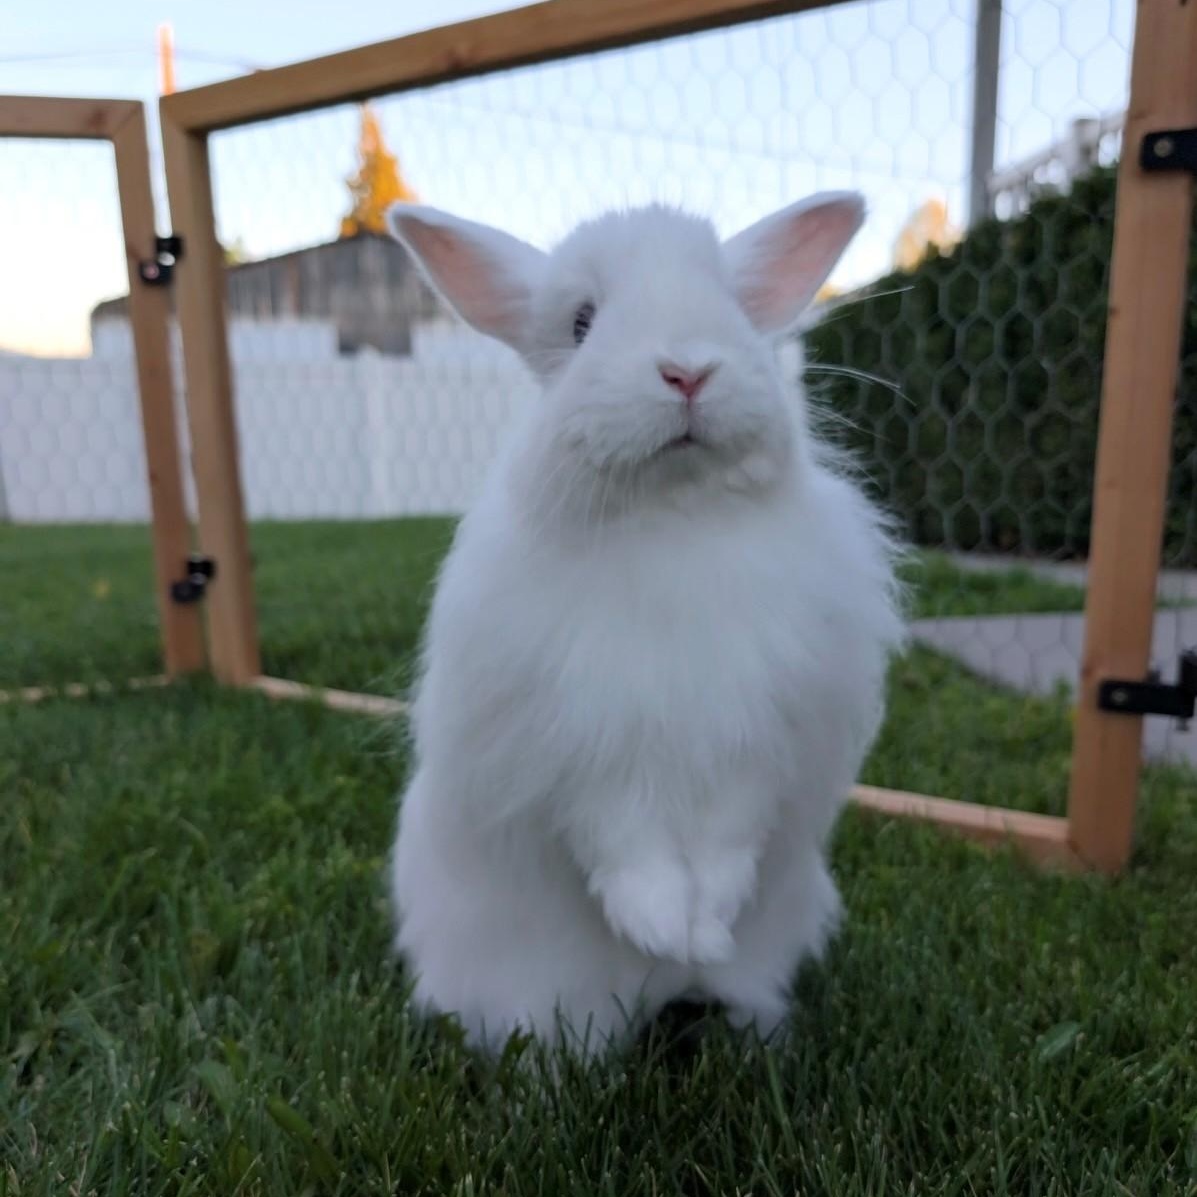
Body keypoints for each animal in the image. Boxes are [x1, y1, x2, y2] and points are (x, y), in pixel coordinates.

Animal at [385, 193, 904, 1057]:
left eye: (729, 303)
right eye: (581, 321)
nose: (687, 371)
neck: (673, 516)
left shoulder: (754, 740)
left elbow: (729, 837)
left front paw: (707, 929)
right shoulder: (588, 751)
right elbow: (624, 847)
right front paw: (661, 929)